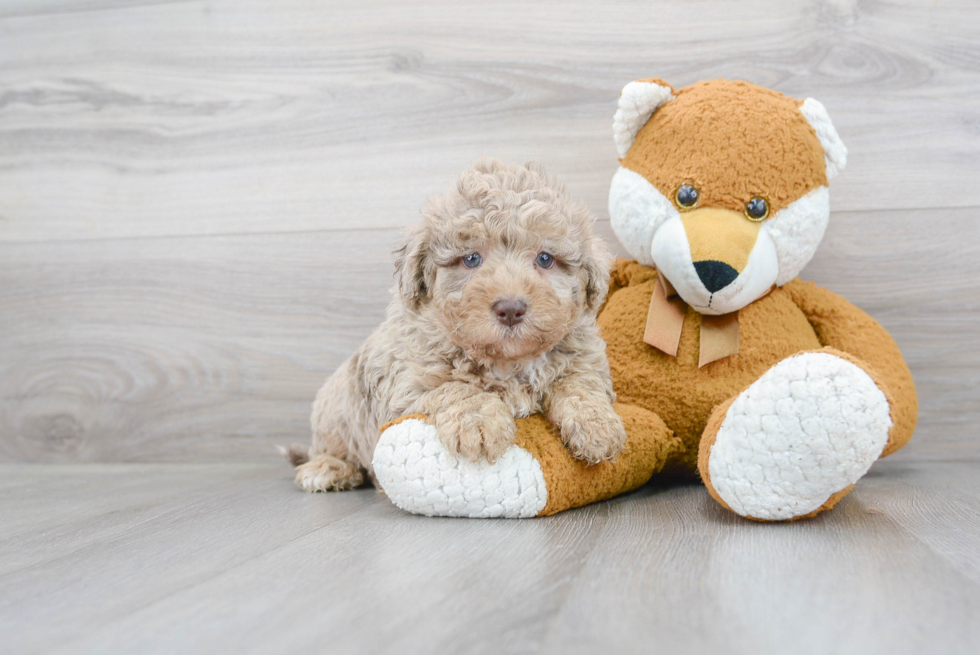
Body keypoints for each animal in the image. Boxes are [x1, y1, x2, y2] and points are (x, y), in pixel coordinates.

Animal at [288, 158, 628, 492]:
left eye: (545, 259)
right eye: (471, 259)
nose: (511, 309)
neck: (507, 361)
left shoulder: (583, 358)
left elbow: (579, 385)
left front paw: (598, 427)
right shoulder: (407, 383)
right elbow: (454, 387)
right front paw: (478, 422)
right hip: (334, 412)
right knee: (332, 448)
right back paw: (328, 469)